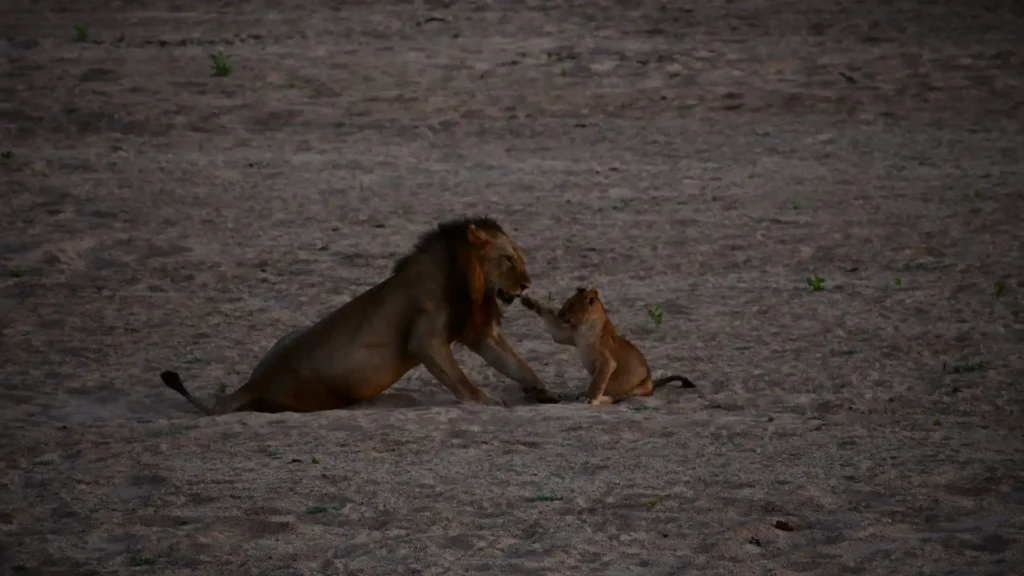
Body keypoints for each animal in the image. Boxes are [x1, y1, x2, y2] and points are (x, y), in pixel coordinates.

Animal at [160, 217, 562, 414]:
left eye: (520, 259)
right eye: (508, 259)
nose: (526, 285)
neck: (464, 278)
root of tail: (254, 384)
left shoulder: (480, 333)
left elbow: (516, 363)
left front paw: (545, 391)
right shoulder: (425, 337)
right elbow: (460, 379)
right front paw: (486, 401)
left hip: (287, 335)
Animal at [521, 287, 695, 405]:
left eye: (570, 304)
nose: (559, 314)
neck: (583, 327)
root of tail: (652, 381)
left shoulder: (607, 360)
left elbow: (597, 382)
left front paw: (588, 398)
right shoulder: (568, 335)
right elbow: (553, 327)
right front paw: (529, 301)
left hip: (637, 389)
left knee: (617, 397)